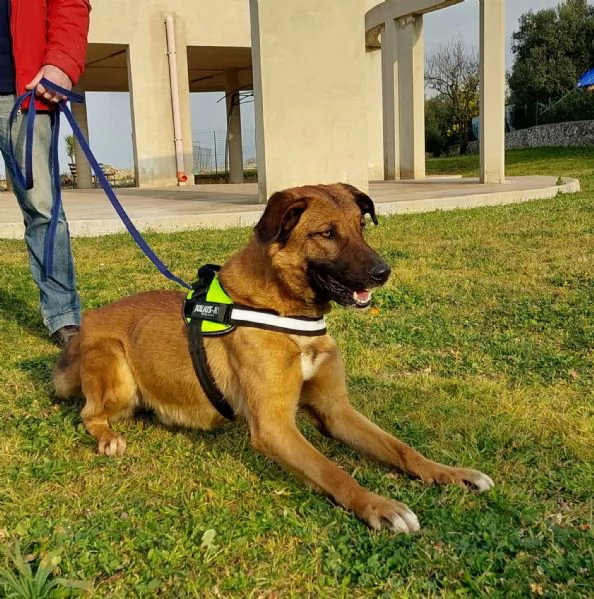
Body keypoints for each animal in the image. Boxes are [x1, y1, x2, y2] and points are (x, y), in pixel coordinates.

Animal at [54, 184, 490, 536]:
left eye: (361, 227)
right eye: (327, 233)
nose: (383, 272)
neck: (285, 314)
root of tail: (87, 324)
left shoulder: (335, 410)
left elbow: (401, 448)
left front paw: (450, 473)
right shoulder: (274, 426)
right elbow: (334, 471)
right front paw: (379, 506)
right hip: (116, 369)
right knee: (89, 414)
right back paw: (108, 436)